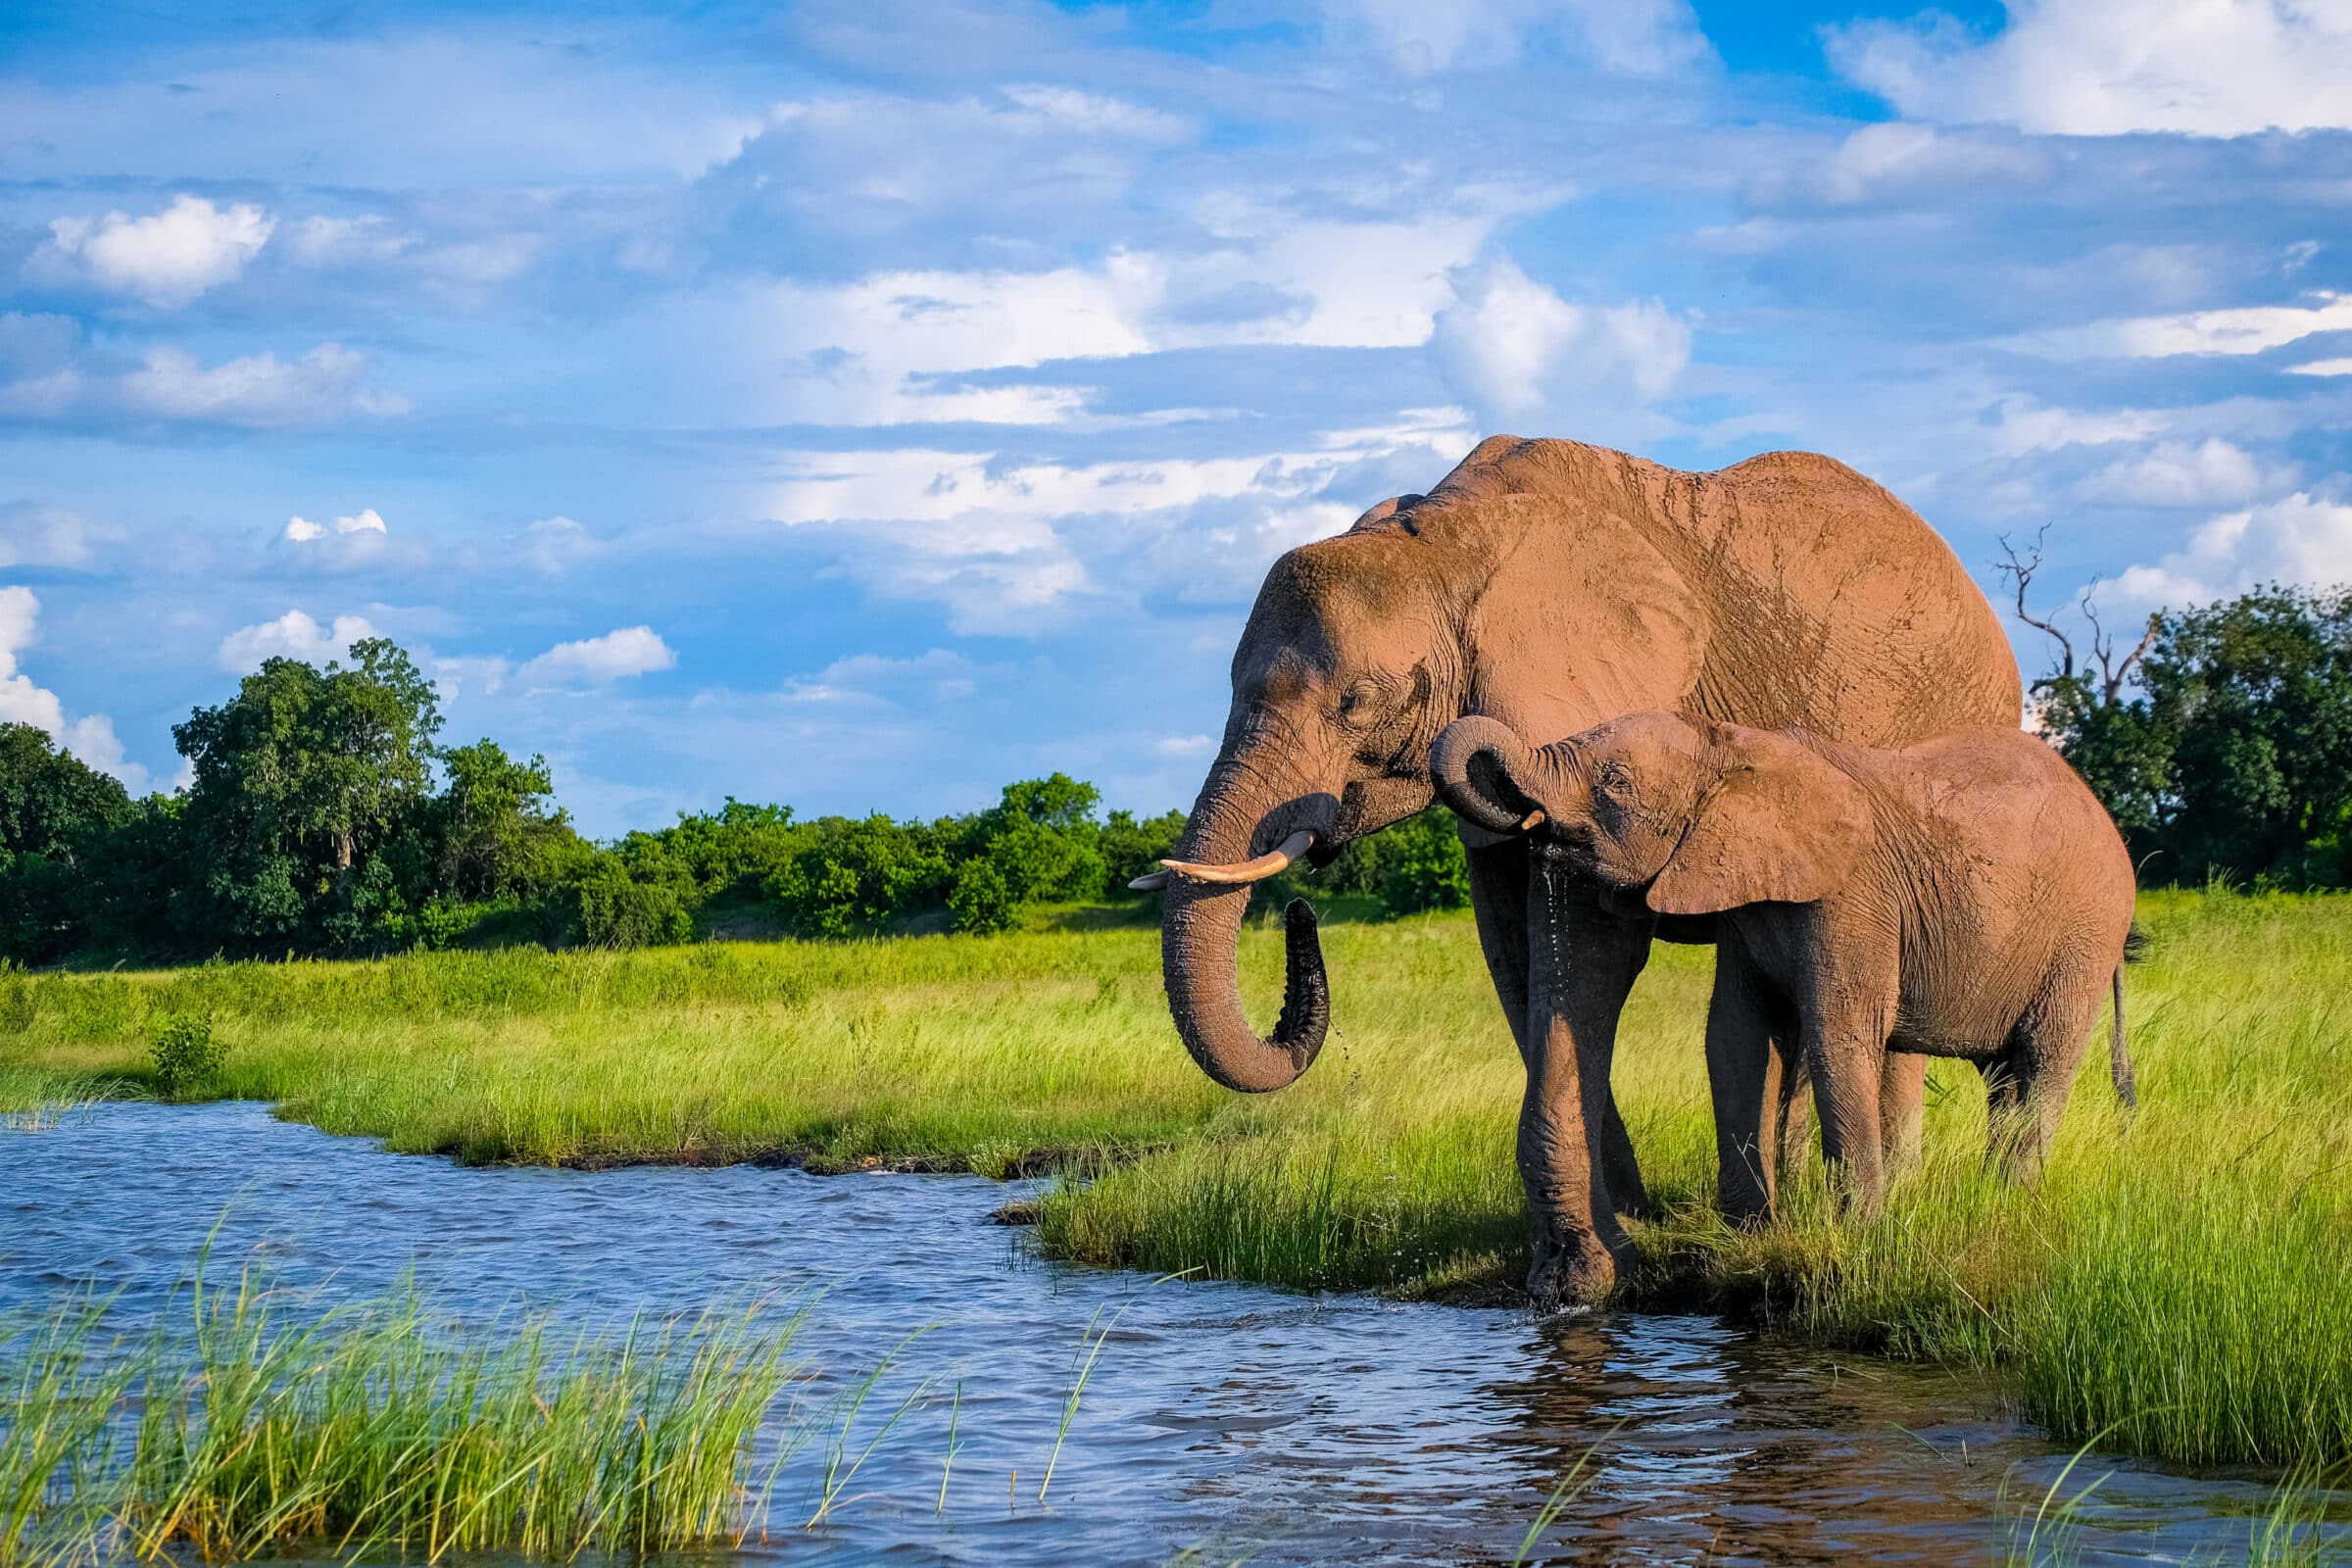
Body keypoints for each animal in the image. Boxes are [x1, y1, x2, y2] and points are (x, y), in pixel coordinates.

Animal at [1138, 434, 2023, 1306]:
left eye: (1357, 700)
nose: (1301, 912)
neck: (1447, 539)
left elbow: (1590, 960)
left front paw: (1582, 1282)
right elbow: (1519, 965)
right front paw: (1623, 1234)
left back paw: (1880, 1195)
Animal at [1430, 714, 2135, 1241]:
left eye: (1618, 783)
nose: (1530, 828)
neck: (1733, 751)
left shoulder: (1851, 896)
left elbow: (1839, 1035)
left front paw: (1858, 1235)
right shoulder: (1745, 891)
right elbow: (1735, 1036)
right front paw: (1749, 1232)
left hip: (2084, 935)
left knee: (2043, 1058)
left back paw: (2012, 1201)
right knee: (2002, 1075)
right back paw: (1991, 1198)